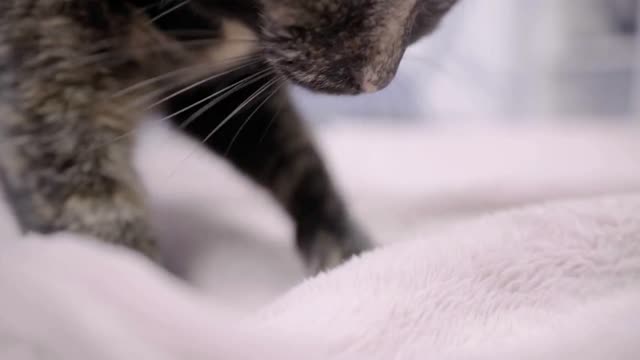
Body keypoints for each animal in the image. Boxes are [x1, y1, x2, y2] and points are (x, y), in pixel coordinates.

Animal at [1, 0, 460, 274]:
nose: (374, 80)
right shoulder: (51, 105)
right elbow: (103, 236)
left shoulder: (226, 88)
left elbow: (299, 161)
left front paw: (347, 251)